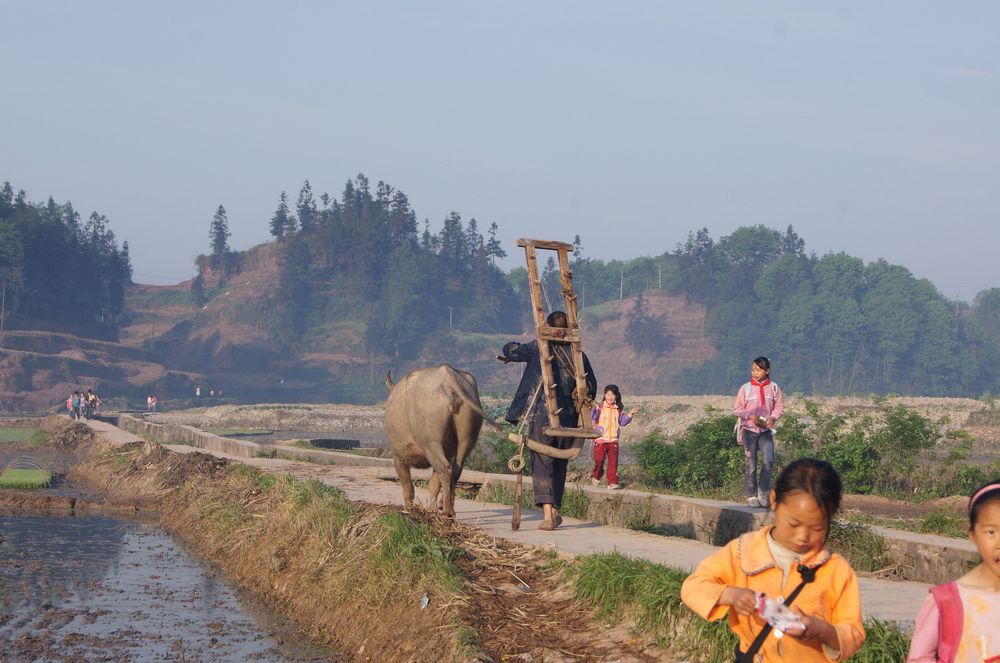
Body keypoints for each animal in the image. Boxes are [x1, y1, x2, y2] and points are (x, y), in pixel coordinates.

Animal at [382, 366, 484, 516]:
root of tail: (449, 378)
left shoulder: (399, 456)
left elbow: (408, 486)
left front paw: (409, 509)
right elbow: (433, 485)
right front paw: (431, 509)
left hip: (431, 444)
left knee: (445, 468)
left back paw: (448, 511)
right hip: (466, 439)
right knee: (455, 469)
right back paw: (446, 506)